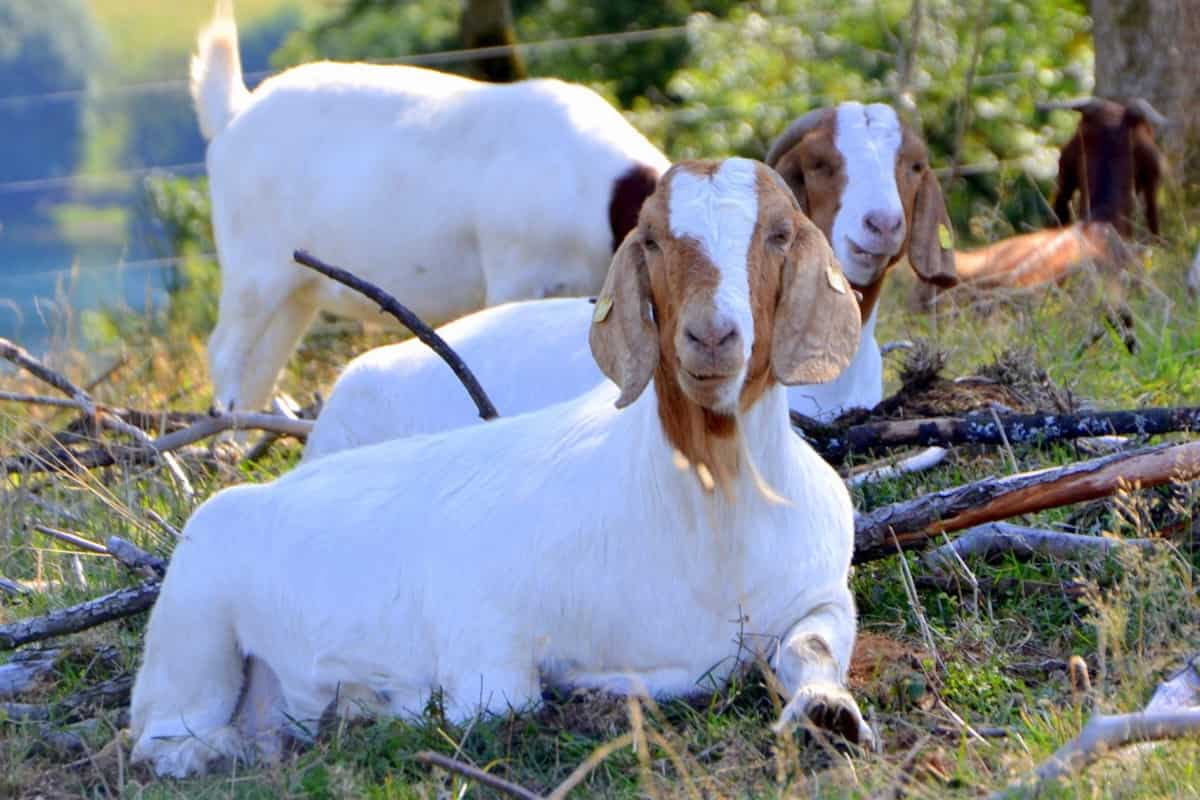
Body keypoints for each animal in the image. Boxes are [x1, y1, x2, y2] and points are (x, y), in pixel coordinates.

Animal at [131, 155, 873, 777]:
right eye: (653, 240)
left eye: (779, 234)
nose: (711, 337)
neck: (711, 511)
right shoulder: (481, 620)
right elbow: (503, 699)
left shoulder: (821, 592)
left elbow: (809, 647)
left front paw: (827, 714)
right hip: (192, 630)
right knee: (164, 737)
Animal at [192, 6, 672, 417]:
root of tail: (233, 113)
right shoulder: (514, 273)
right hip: (253, 268)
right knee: (224, 350)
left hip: (296, 291)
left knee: (261, 366)